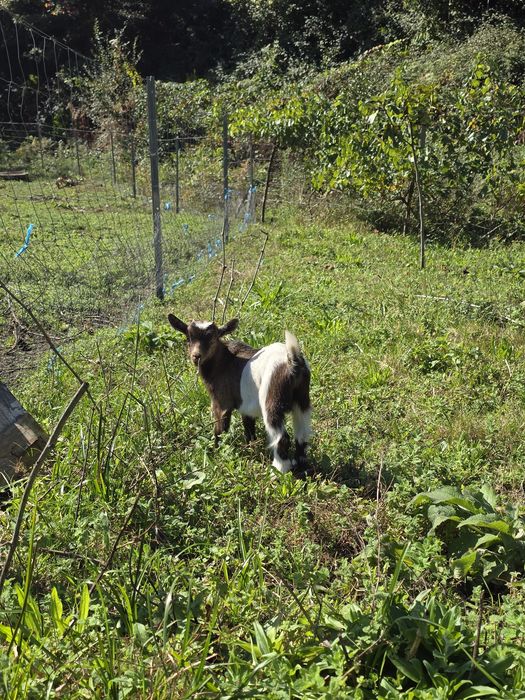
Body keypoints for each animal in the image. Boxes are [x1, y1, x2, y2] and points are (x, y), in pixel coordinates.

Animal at [168, 314, 312, 473]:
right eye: (189, 337)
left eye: (212, 337)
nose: (196, 356)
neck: (223, 362)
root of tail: (293, 362)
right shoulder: (246, 407)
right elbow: (248, 429)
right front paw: (250, 448)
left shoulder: (221, 403)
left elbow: (219, 430)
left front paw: (216, 454)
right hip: (302, 399)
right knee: (302, 434)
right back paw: (302, 467)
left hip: (271, 399)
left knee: (281, 437)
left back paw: (278, 471)